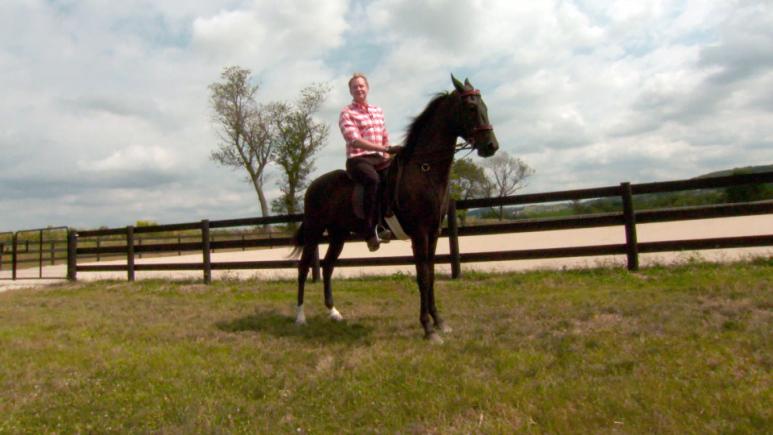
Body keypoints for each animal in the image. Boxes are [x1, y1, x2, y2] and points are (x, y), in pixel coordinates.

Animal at [292, 75, 500, 342]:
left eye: (485, 107)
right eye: (471, 108)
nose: (491, 146)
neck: (424, 169)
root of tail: (314, 185)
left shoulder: (434, 233)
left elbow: (431, 275)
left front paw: (439, 322)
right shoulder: (419, 234)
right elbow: (422, 277)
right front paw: (428, 329)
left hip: (338, 234)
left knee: (327, 266)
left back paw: (334, 313)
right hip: (314, 231)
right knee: (304, 267)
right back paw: (300, 317)